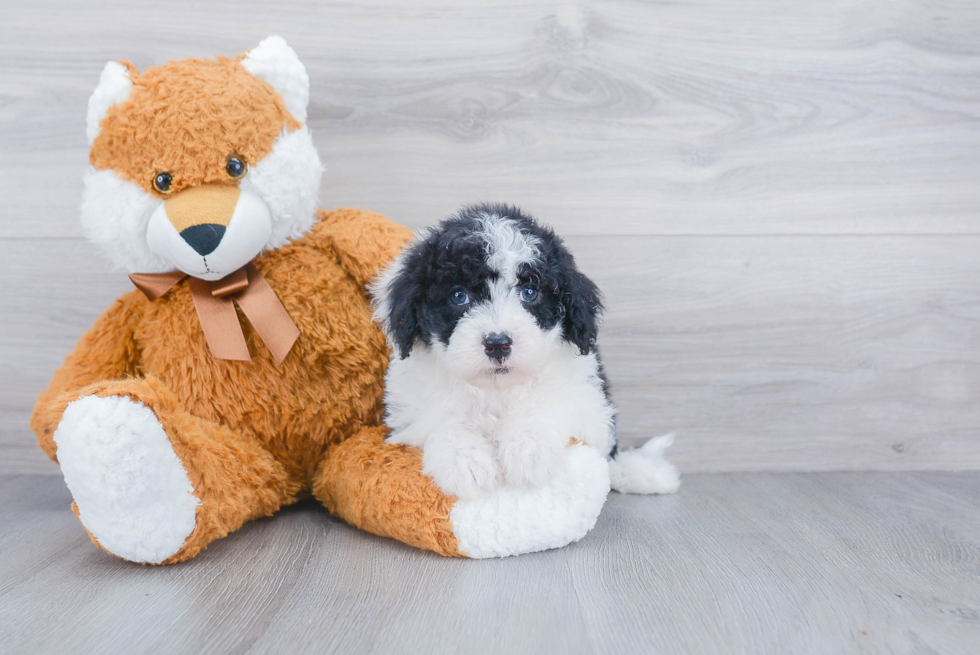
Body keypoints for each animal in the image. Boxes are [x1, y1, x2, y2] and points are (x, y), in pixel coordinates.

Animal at [372, 205, 676, 502]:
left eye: (529, 292)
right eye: (459, 296)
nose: (497, 343)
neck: (496, 390)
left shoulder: (587, 401)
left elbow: (548, 402)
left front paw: (529, 449)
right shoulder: (408, 412)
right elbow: (439, 420)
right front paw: (466, 462)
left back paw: (642, 473)